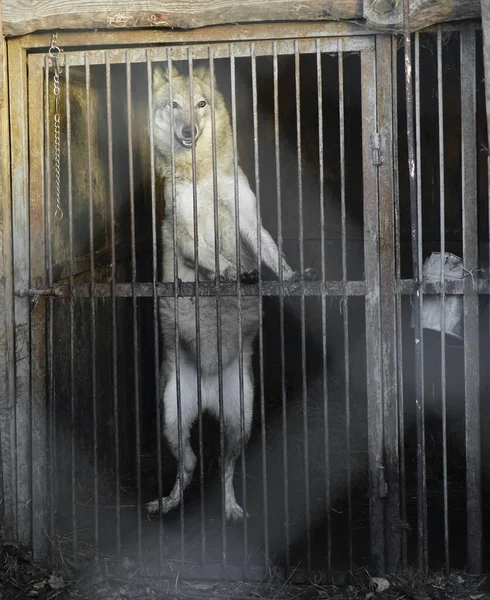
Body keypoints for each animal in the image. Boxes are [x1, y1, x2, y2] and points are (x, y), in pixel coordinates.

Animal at [145, 64, 310, 520]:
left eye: (201, 104)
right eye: (174, 105)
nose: (188, 131)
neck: (201, 173)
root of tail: (207, 391)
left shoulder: (248, 219)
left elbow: (271, 253)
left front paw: (288, 276)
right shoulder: (186, 235)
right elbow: (212, 258)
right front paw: (235, 271)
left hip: (242, 421)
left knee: (224, 466)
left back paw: (232, 510)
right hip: (171, 419)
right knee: (190, 463)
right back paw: (168, 503)